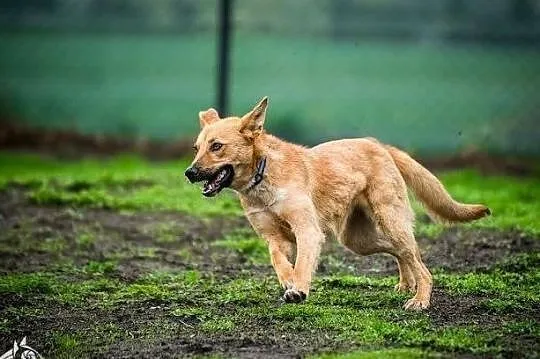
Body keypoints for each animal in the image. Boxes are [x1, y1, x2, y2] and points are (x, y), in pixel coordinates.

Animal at [185, 97, 490, 310]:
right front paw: (288, 281)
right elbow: (278, 260)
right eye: (196, 148)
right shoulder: (275, 238)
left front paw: (298, 288)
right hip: (358, 240)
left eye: (217, 146)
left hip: (389, 222)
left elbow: (302, 264)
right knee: (402, 254)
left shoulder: (308, 231)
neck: (264, 174)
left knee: (419, 262)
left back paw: (420, 299)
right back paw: (406, 284)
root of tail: (379, 145)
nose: (189, 173)